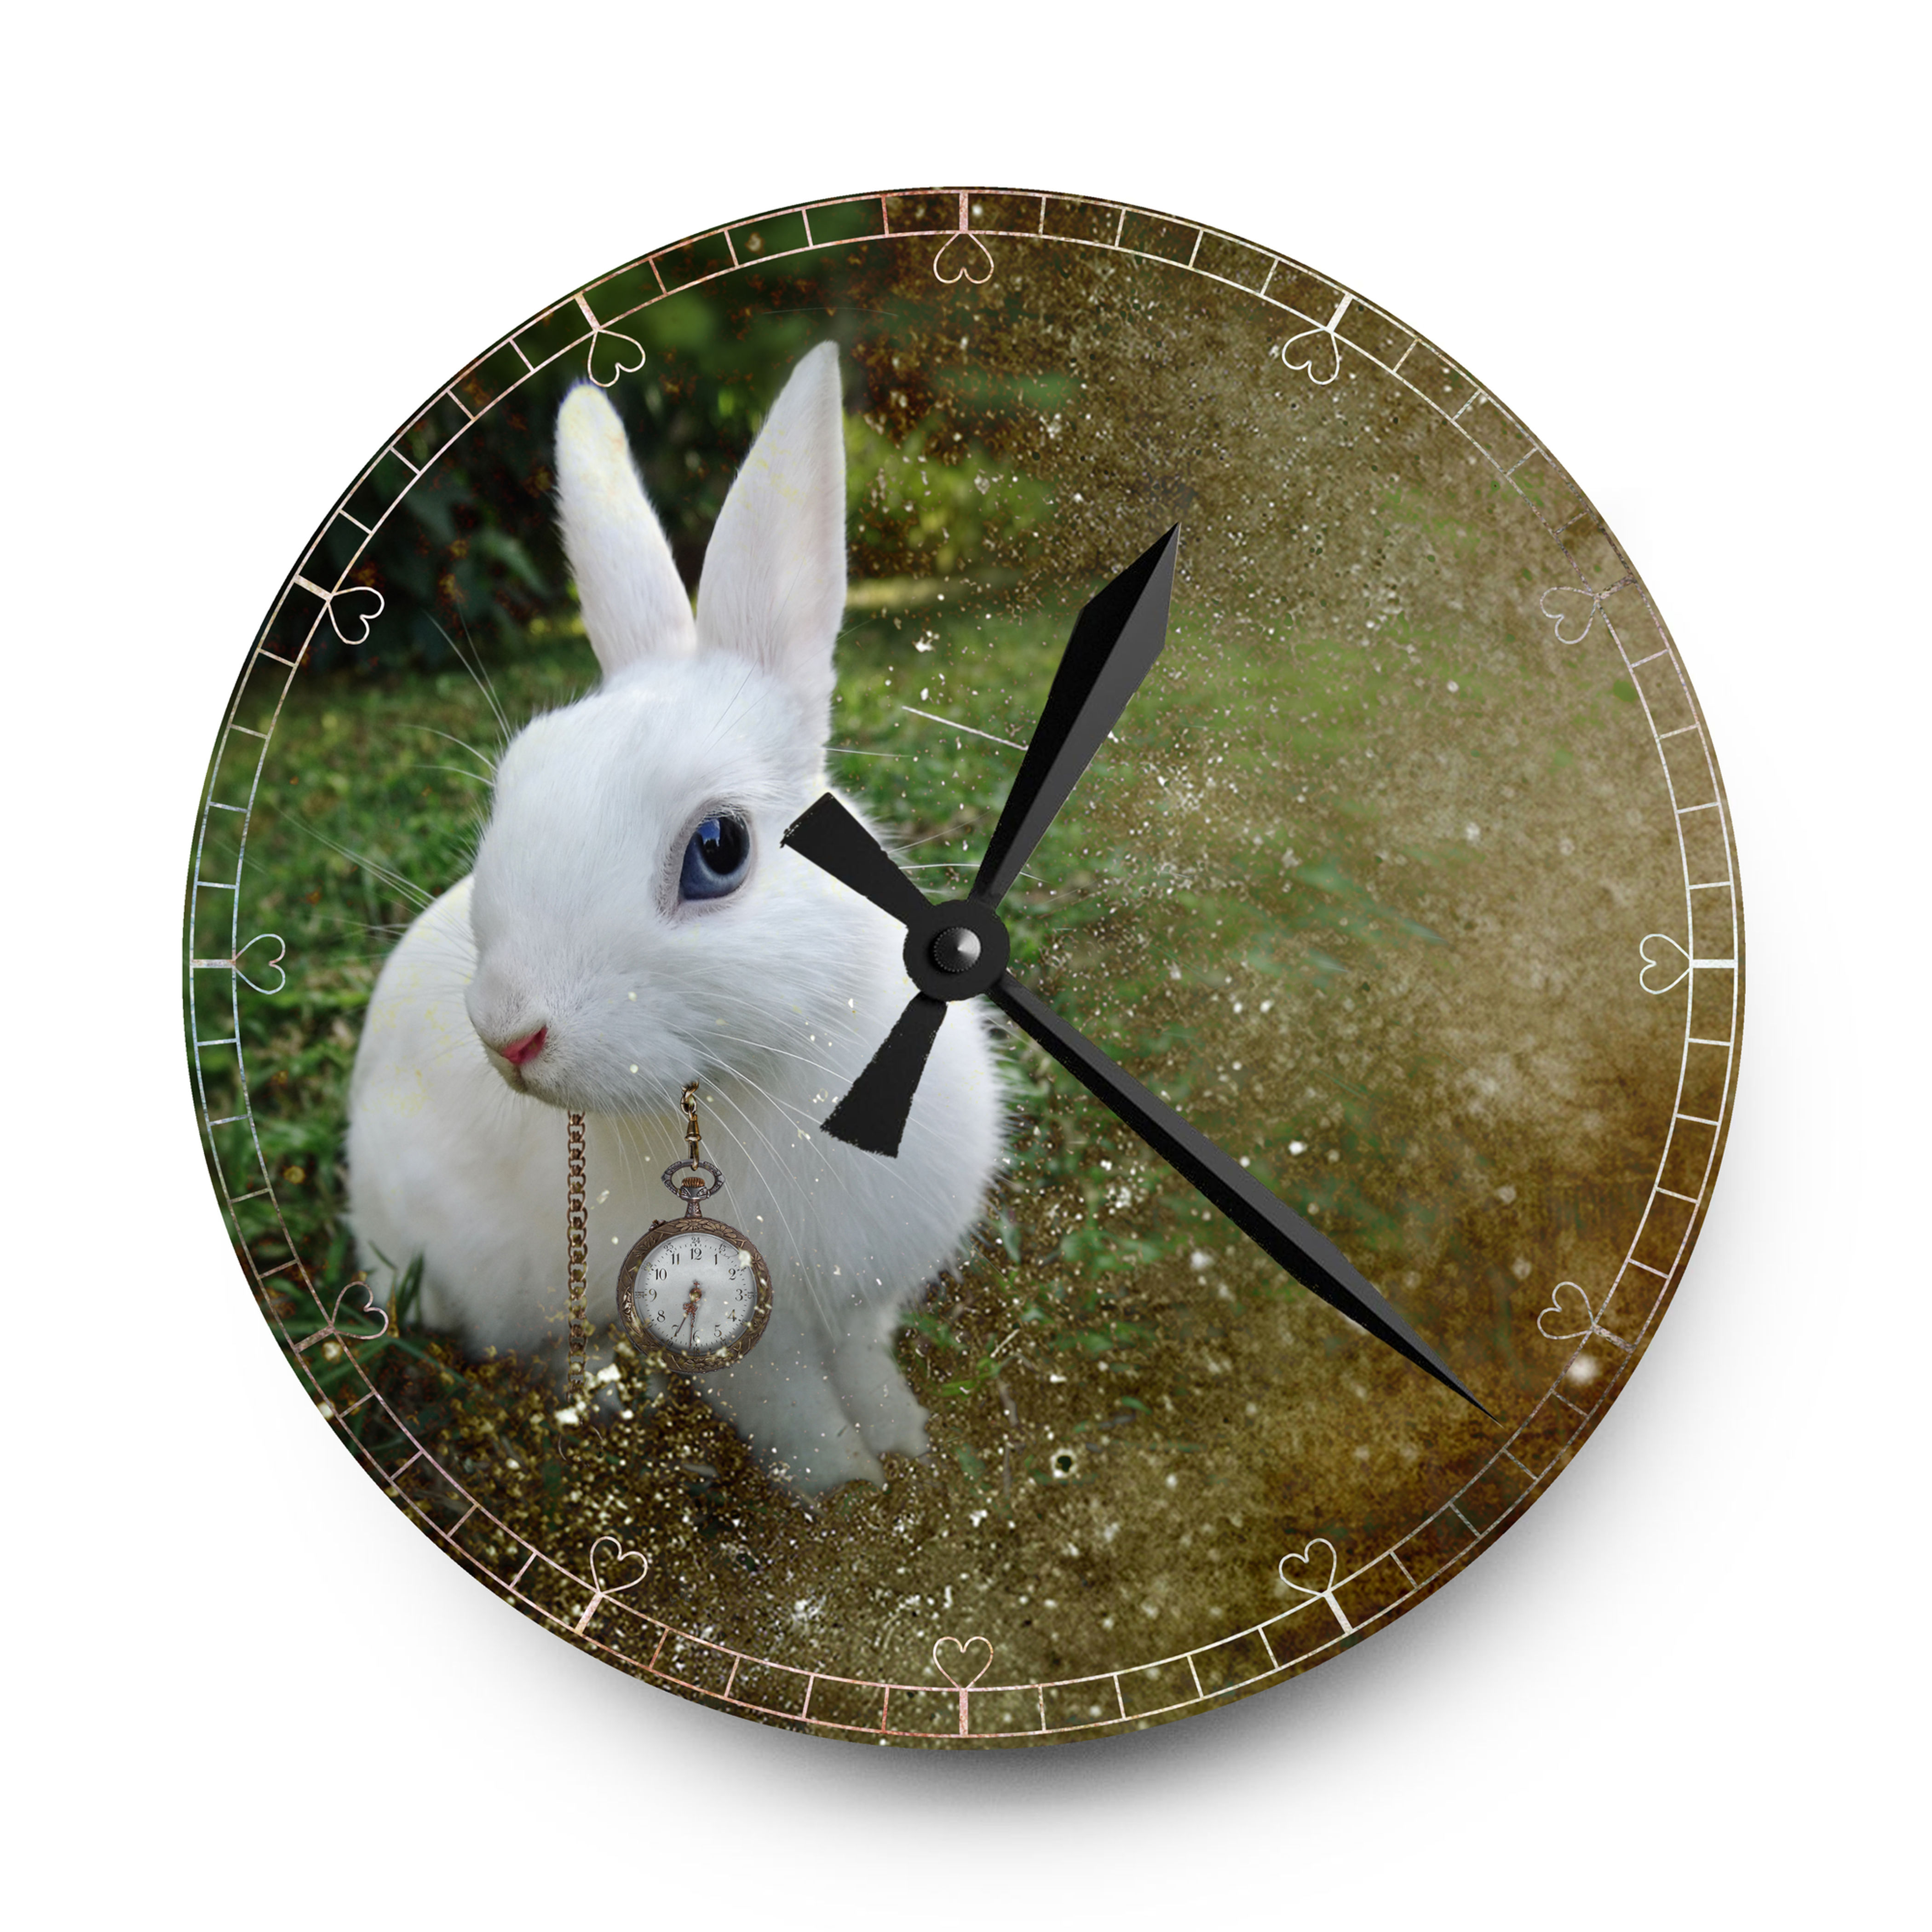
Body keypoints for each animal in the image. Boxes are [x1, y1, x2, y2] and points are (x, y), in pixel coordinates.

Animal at [345, 343, 1008, 1497]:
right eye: (513, 790)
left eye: (718, 850)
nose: (507, 1035)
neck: (767, 1072)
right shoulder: (754, 1346)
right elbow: (796, 1417)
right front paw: (847, 1492)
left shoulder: (861, 1297)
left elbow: (868, 1369)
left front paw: (904, 1447)